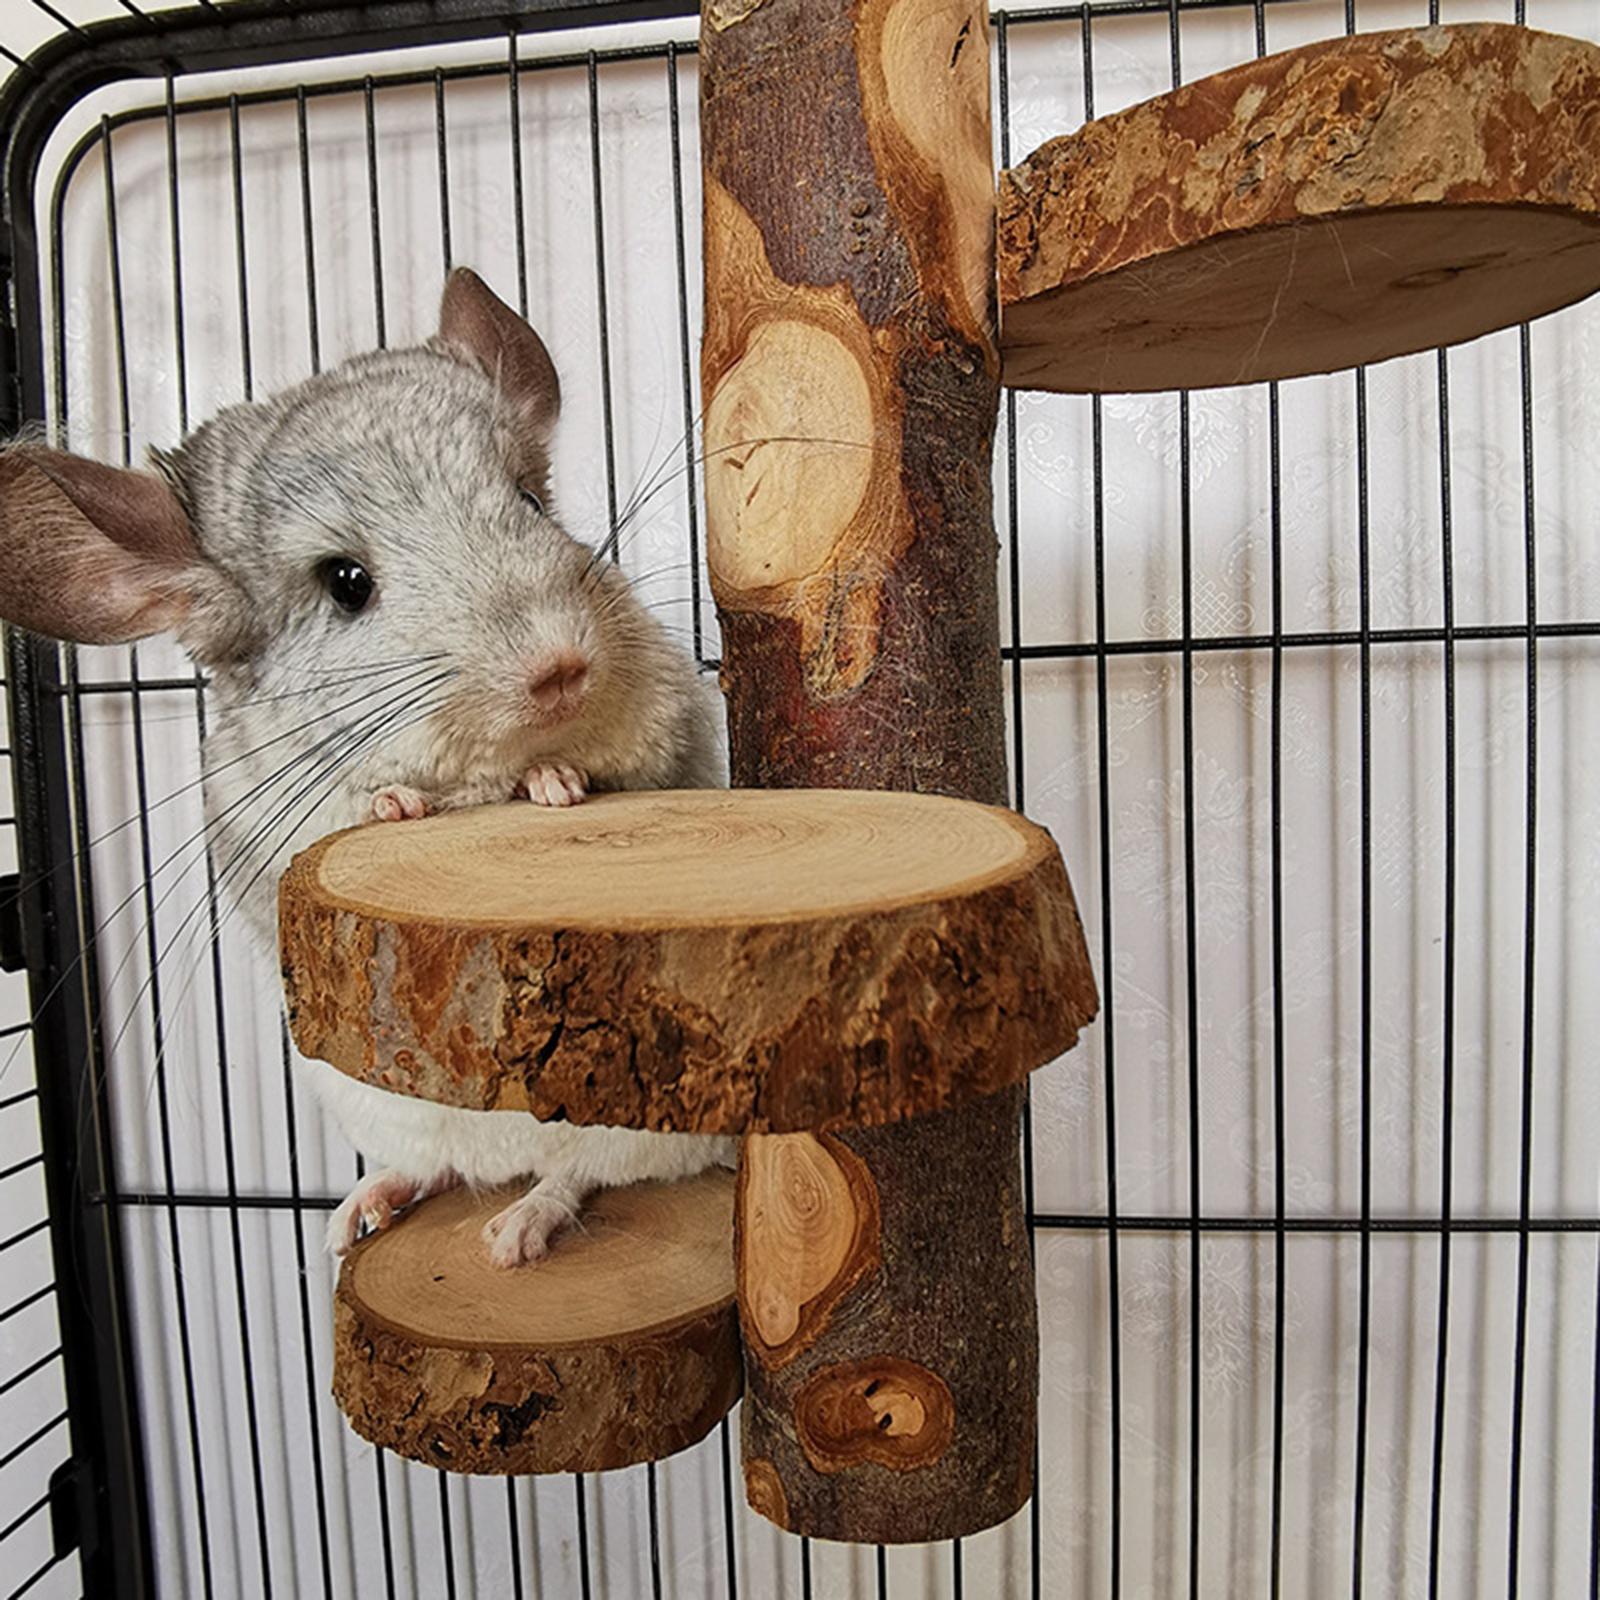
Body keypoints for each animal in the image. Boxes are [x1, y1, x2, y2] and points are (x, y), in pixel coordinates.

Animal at [0, 267, 734, 1266]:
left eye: (529, 501)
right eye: (346, 584)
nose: (561, 666)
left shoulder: (673, 731)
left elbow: (621, 778)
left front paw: (551, 783)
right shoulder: (273, 827)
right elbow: (363, 809)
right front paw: (397, 803)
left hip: (629, 1130)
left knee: (580, 1176)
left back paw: (517, 1229)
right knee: (442, 1169)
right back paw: (362, 1211)